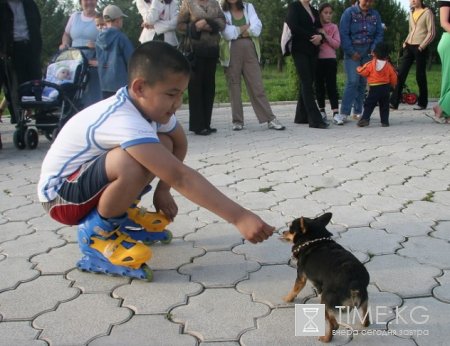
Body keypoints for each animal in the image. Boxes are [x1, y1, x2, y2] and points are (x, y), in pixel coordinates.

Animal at [284, 212, 370, 342]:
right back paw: (365, 323)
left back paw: (326, 338)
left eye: (290, 230)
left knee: (334, 324)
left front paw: (287, 299)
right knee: (365, 310)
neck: (315, 239)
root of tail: (354, 280)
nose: (283, 232)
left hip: (326, 301)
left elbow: (294, 290)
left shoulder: (301, 277)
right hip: (363, 297)